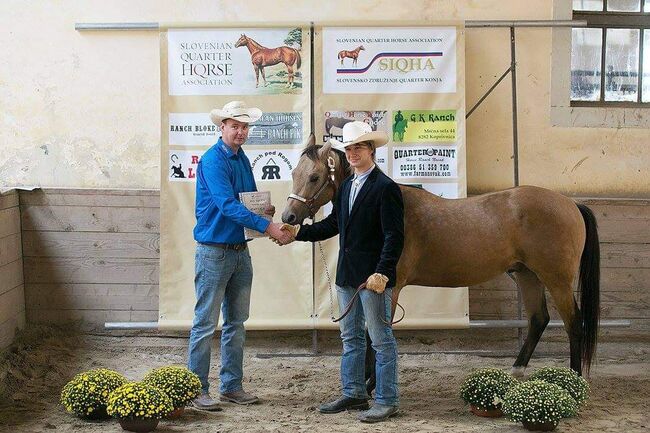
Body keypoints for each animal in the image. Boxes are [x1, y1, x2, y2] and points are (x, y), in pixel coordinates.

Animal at [280, 140, 600, 390]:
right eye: (294, 172)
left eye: (314, 177)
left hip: (556, 279)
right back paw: (517, 371)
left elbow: (377, 333)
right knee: (538, 319)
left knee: (574, 325)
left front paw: (371, 385)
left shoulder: (387, 286)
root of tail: (571, 204)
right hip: (526, 275)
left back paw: (574, 383)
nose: (288, 217)